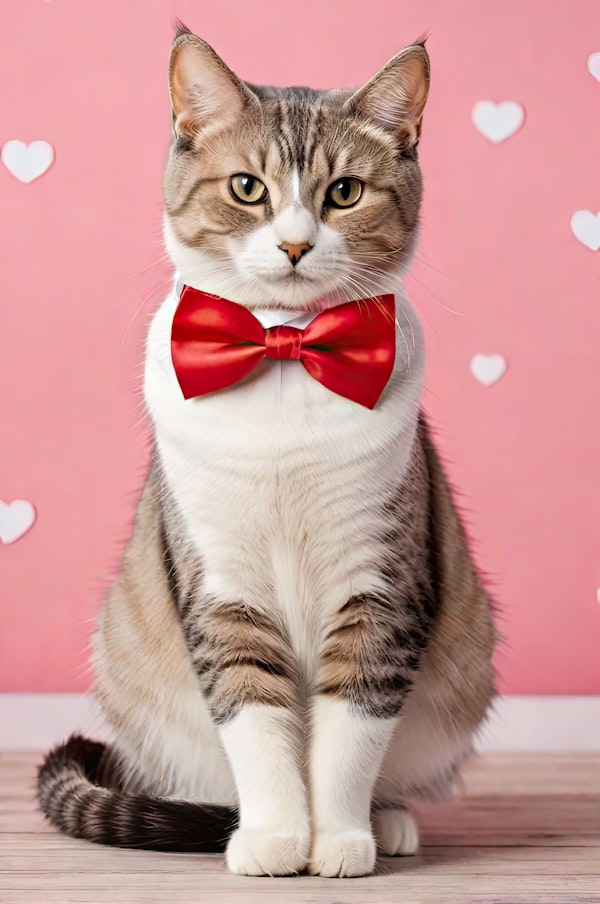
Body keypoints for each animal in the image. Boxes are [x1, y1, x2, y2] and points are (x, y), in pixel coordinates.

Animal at [36, 24, 496, 880]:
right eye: (248, 187)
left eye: (344, 193)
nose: (293, 243)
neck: (285, 350)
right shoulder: (222, 584)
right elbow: (254, 715)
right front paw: (280, 836)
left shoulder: (379, 582)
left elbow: (351, 727)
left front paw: (338, 837)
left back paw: (388, 820)